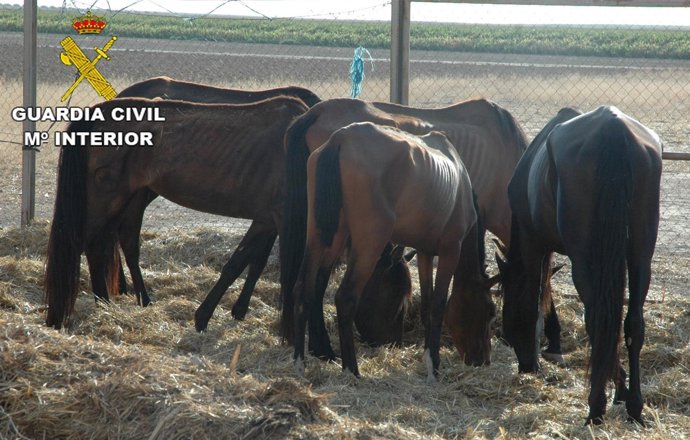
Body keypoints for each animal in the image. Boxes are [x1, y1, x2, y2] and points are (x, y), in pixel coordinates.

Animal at [44, 96, 310, 329]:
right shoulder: (280, 218)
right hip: (106, 198)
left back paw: (113, 303)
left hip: (129, 199)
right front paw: (204, 317)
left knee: (110, 244)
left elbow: (252, 263)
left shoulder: (268, 220)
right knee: (86, 245)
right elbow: (249, 265)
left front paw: (237, 311)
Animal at [292, 122, 496, 380]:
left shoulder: (425, 252)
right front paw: (434, 367)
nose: (483, 360)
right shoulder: (451, 250)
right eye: (490, 312)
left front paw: (428, 358)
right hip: (369, 242)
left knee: (304, 289)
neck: (459, 179)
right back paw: (352, 369)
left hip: (323, 235)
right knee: (345, 298)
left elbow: (427, 305)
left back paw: (299, 361)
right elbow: (438, 306)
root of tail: (339, 139)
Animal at [497, 106, 662, 425]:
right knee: (633, 323)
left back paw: (596, 407)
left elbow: (535, 300)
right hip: (640, 252)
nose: (525, 365)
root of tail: (612, 127)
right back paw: (635, 407)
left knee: (598, 320)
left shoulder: (535, 245)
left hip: (584, 259)